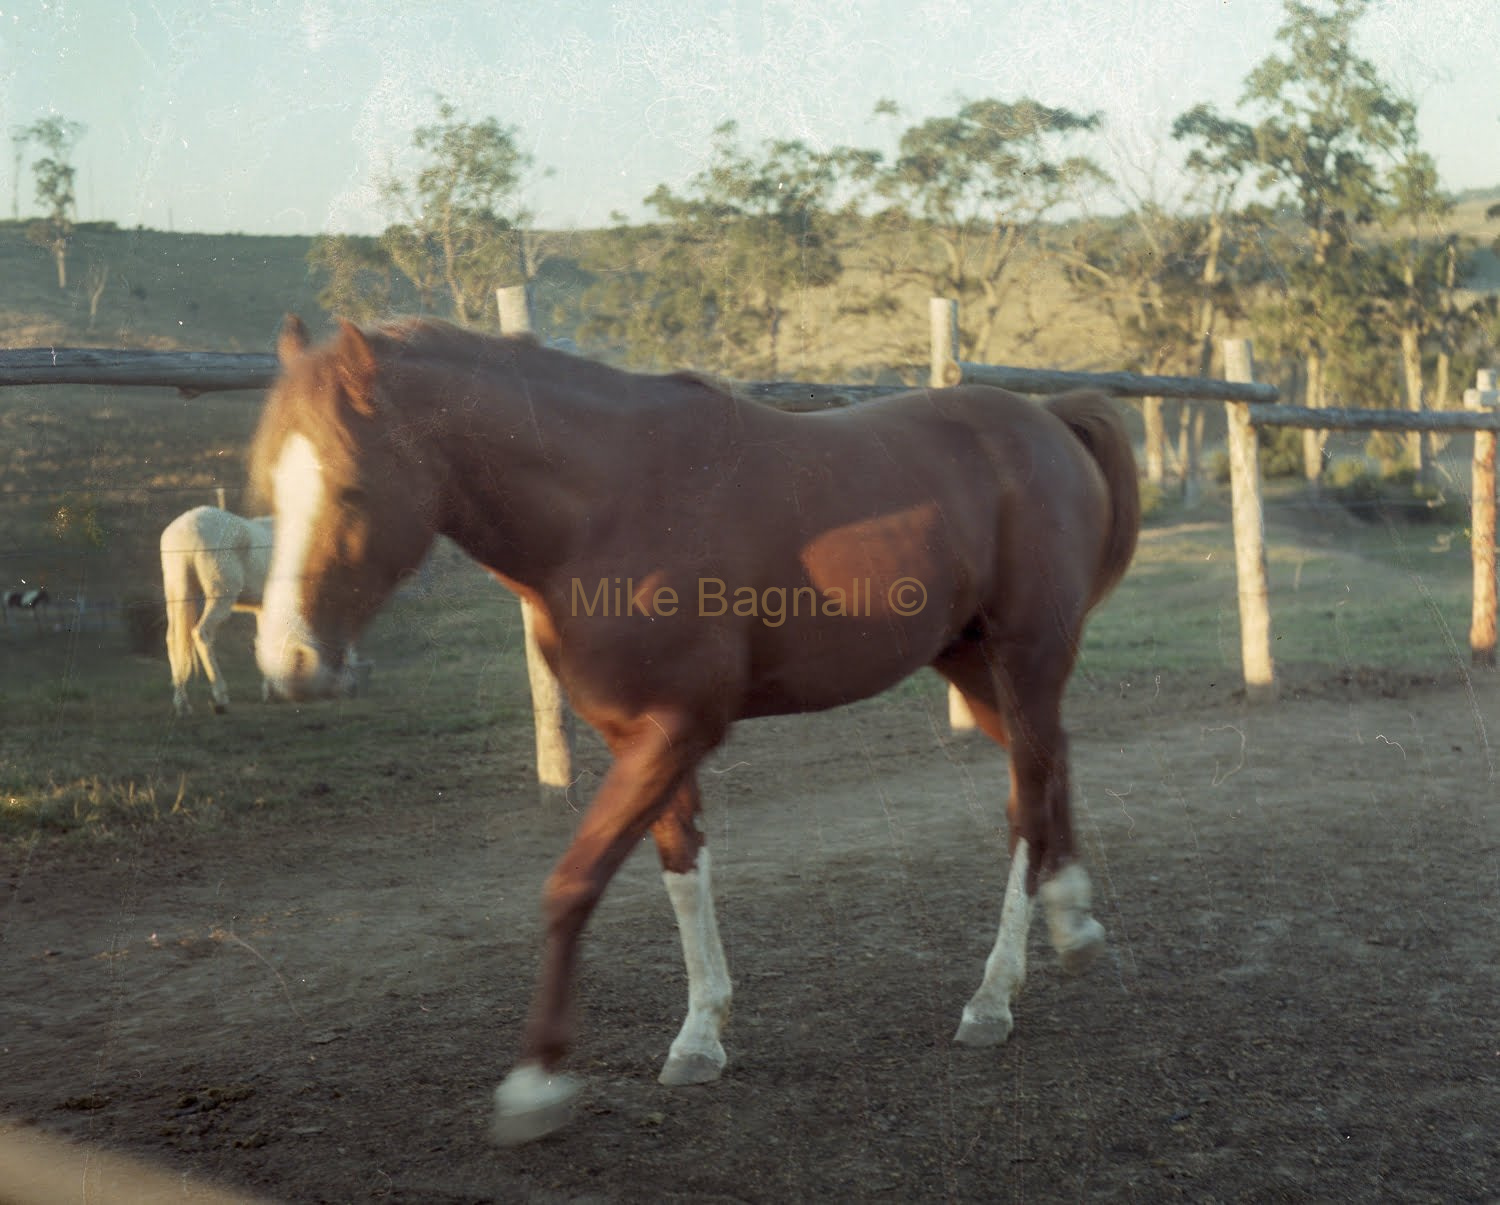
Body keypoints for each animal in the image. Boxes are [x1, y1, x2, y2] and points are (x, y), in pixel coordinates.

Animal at [252, 315, 1134, 1146]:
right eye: (268, 487)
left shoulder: (675, 730)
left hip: (1024, 658)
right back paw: (1074, 923)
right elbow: (683, 872)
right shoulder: (639, 738)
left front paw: (535, 1083)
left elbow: (573, 883)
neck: (605, 505)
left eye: (351, 487)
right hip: (975, 667)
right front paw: (700, 1035)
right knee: (1050, 763)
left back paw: (993, 996)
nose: (288, 661)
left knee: (1026, 802)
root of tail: (1046, 418)